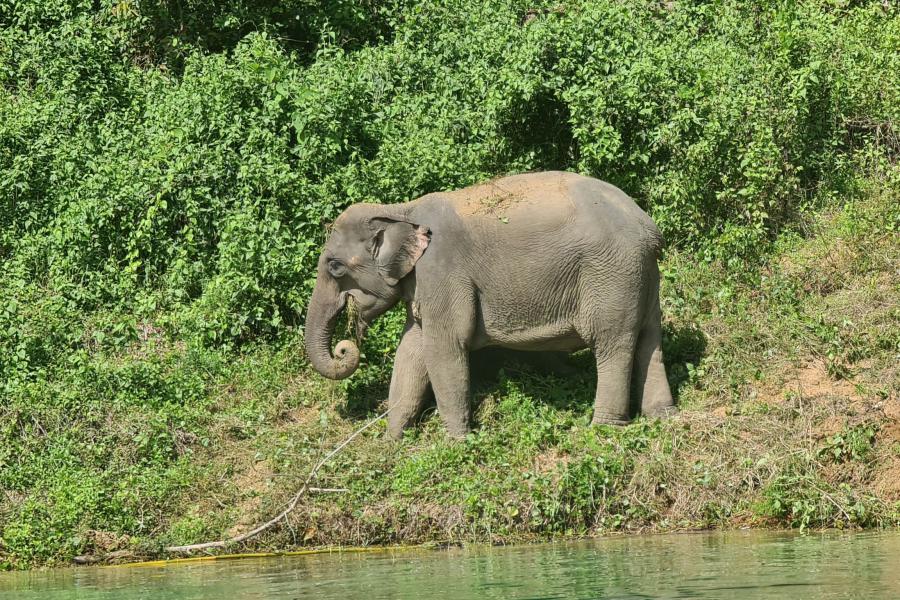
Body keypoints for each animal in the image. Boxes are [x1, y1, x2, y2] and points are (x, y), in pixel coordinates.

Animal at [304, 171, 676, 439]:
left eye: (334, 266)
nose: (344, 347)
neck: (400, 209)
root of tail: (649, 227)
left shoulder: (442, 270)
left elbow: (443, 347)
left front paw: (457, 443)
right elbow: (411, 347)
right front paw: (394, 442)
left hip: (612, 274)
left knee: (613, 344)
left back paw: (604, 430)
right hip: (642, 276)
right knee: (650, 340)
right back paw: (662, 417)